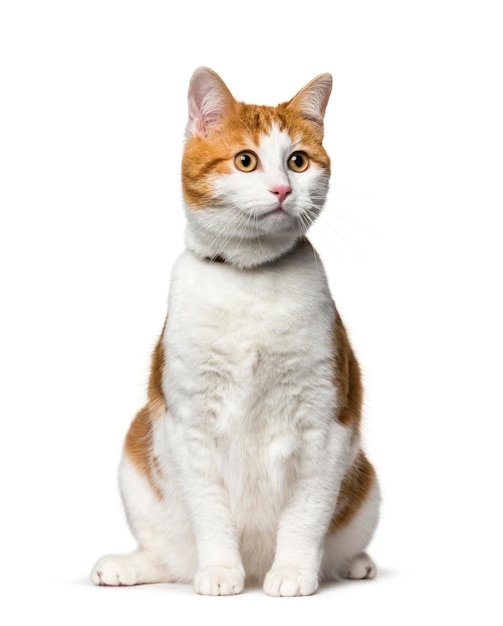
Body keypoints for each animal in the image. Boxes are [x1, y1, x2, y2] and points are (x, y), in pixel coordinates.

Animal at [91, 67, 382, 596]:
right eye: (246, 161)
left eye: (298, 161)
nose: (282, 190)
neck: (250, 280)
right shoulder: (191, 424)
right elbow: (210, 512)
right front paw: (222, 570)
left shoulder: (325, 423)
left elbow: (306, 512)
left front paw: (293, 572)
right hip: (135, 455)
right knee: (169, 556)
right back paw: (129, 566)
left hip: (366, 482)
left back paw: (353, 563)